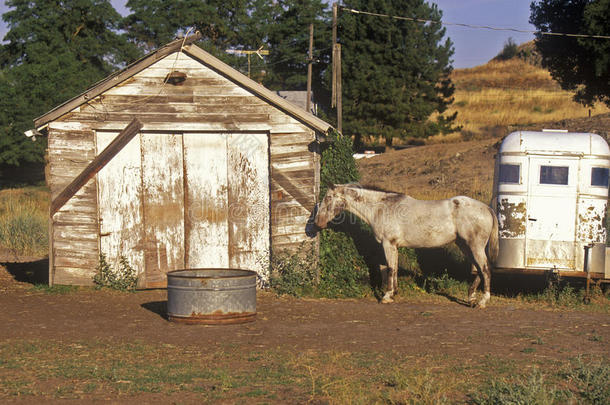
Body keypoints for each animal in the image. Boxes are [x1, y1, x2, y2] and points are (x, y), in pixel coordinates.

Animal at [316, 183, 496, 306]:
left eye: (328, 198)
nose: (318, 222)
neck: (381, 208)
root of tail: (486, 208)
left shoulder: (388, 244)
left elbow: (389, 269)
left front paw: (386, 296)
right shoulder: (394, 246)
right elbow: (392, 268)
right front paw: (393, 293)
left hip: (475, 246)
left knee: (485, 269)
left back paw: (482, 301)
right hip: (465, 246)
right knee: (478, 270)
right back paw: (471, 298)